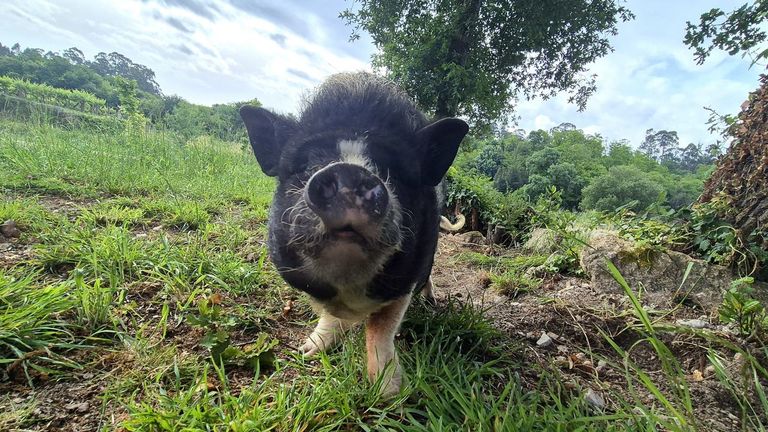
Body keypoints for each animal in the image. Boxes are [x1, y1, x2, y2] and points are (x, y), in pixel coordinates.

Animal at [240, 72, 468, 397]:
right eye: (307, 166)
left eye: (393, 173)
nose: (348, 171)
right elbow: (331, 316)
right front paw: (306, 352)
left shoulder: (405, 282)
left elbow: (381, 328)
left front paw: (389, 393)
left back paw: (431, 301)